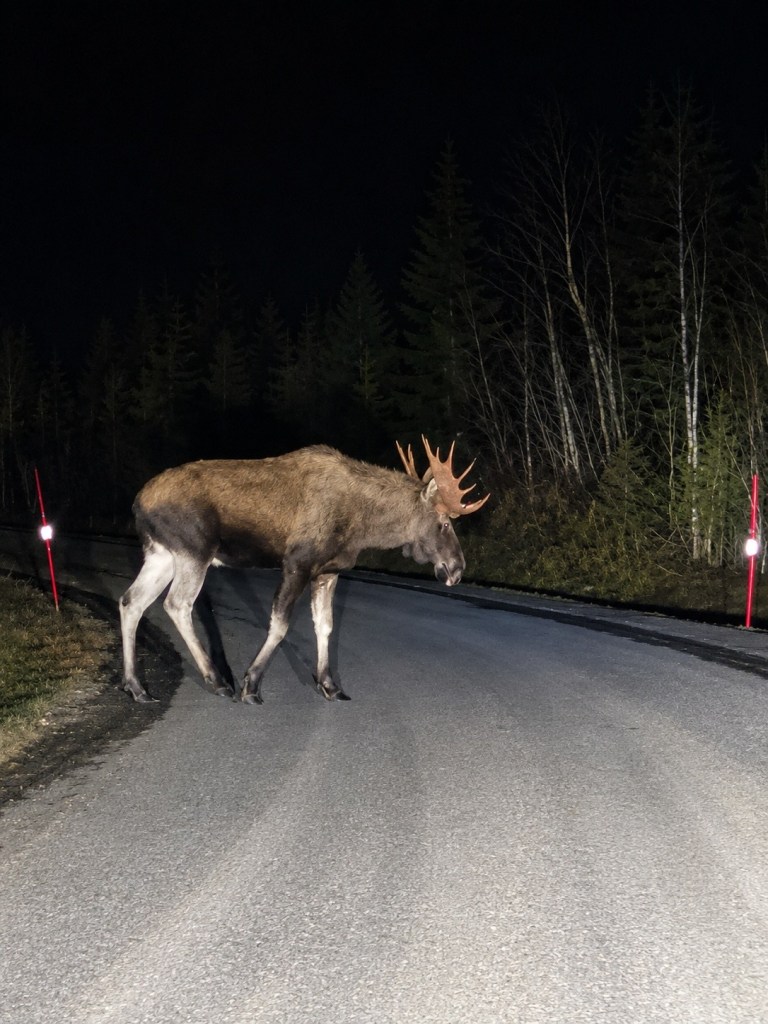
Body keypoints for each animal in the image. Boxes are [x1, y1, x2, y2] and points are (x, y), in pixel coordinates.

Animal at [119, 436, 489, 705]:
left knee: (131, 601)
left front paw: (330, 685)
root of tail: (137, 502)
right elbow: (281, 625)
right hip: (195, 550)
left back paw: (137, 686)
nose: (457, 568)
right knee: (177, 604)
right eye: (444, 523)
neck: (363, 525)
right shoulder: (297, 562)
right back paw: (217, 680)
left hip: (162, 554)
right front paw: (250, 684)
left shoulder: (327, 571)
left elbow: (325, 626)